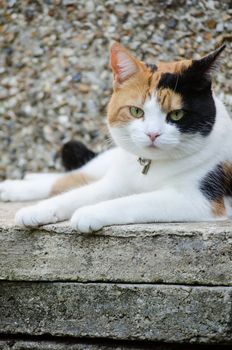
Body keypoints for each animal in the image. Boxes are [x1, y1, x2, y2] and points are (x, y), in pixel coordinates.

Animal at [0, 41, 232, 232]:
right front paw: (36, 210)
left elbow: (135, 201)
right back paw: (15, 185)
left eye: (176, 114)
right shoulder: (115, 183)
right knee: (72, 177)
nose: (152, 134)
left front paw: (89, 212)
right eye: (136, 111)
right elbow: (77, 194)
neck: (149, 166)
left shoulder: (200, 200)